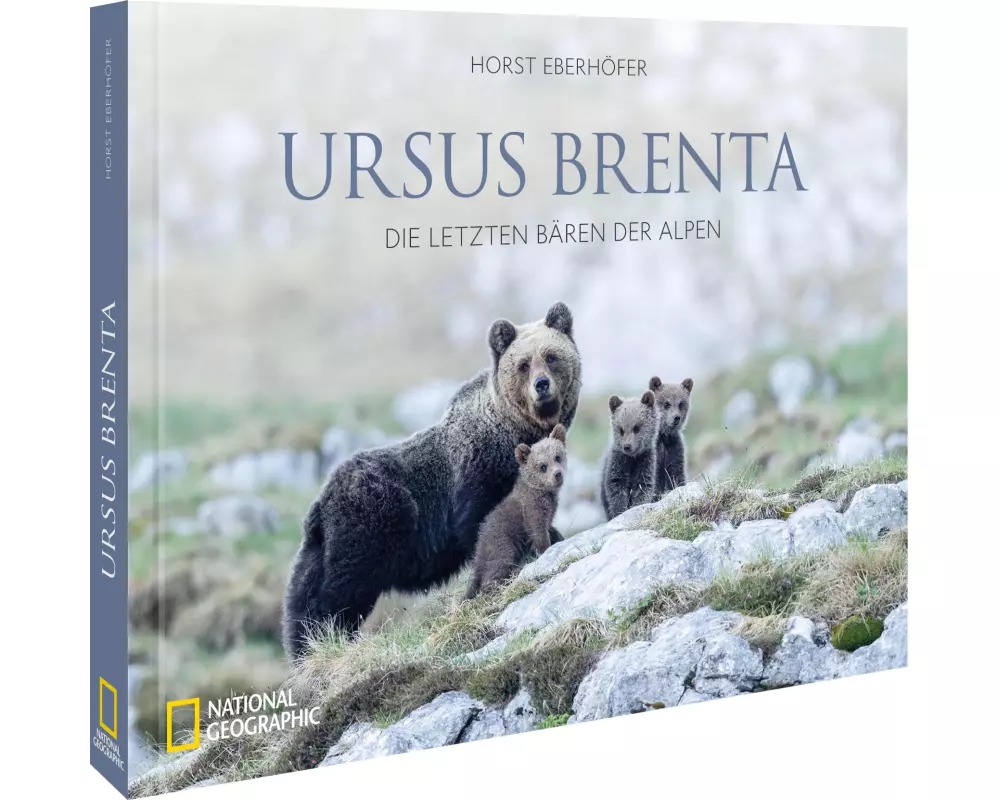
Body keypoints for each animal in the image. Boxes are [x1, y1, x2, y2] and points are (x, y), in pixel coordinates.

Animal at [465, 424, 568, 599]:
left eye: (557, 457)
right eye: (542, 466)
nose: (557, 474)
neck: (543, 494)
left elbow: (551, 529)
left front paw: (559, 538)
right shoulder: (532, 511)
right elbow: (539, 534)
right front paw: (545, 550)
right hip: (501, 544)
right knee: (496, 569)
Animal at [600, 390, 661, 520]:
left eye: (636, 427)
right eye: (621, 429)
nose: (627, 446)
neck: (633, 458)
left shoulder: (645, 461)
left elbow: (642, 488)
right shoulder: (618, 463)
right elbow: (616, 488)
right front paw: (619, 511)